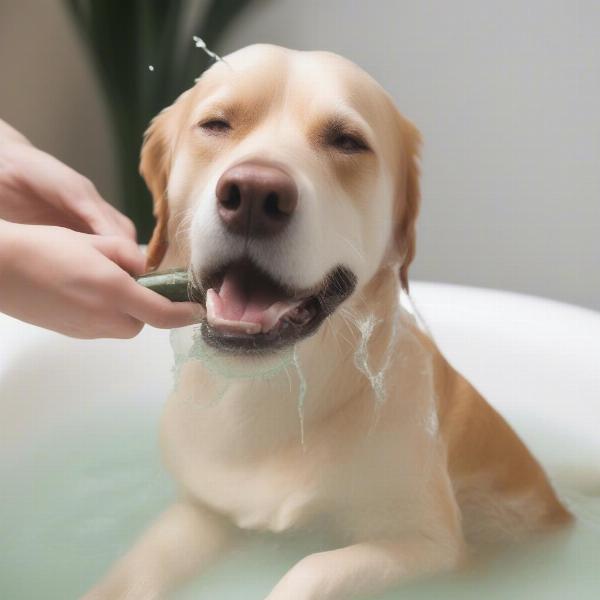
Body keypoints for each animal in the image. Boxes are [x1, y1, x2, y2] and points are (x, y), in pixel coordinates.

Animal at [85, 44, 572, 596]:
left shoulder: (428, 545)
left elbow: (310, 570)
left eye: (347, 141)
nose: (254, 196)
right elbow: (134, 572)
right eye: (216, 124)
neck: (270, 398)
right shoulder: (204, 512)